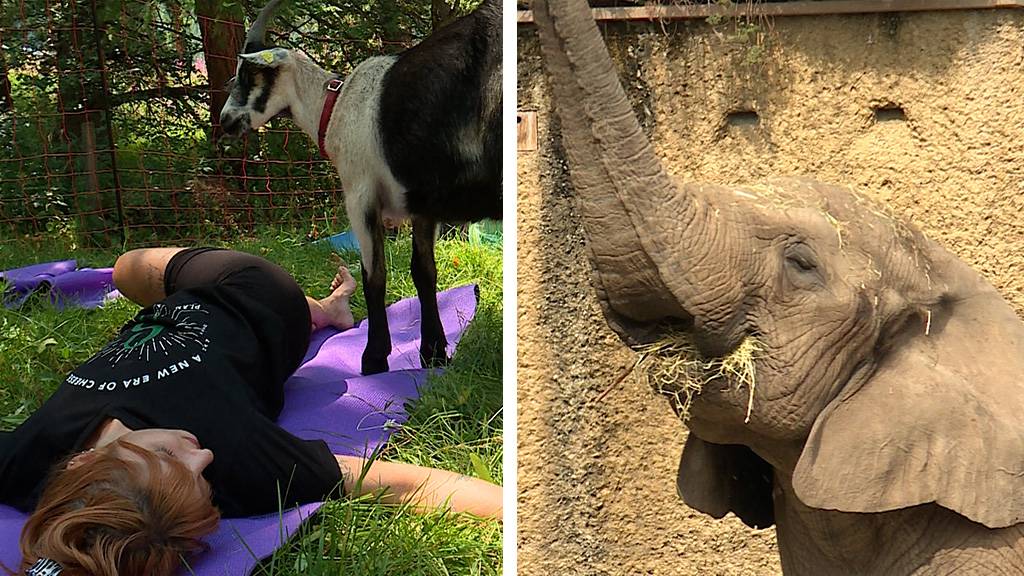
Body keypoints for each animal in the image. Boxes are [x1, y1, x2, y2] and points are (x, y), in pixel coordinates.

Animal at [221, 0, 503, 373]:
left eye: (249, 75)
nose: (225, 120)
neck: (334, 109)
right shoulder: (421, 203)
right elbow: (424, 271)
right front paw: (433, 353)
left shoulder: (359, 195)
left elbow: (374, 277)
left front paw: (373, 358)